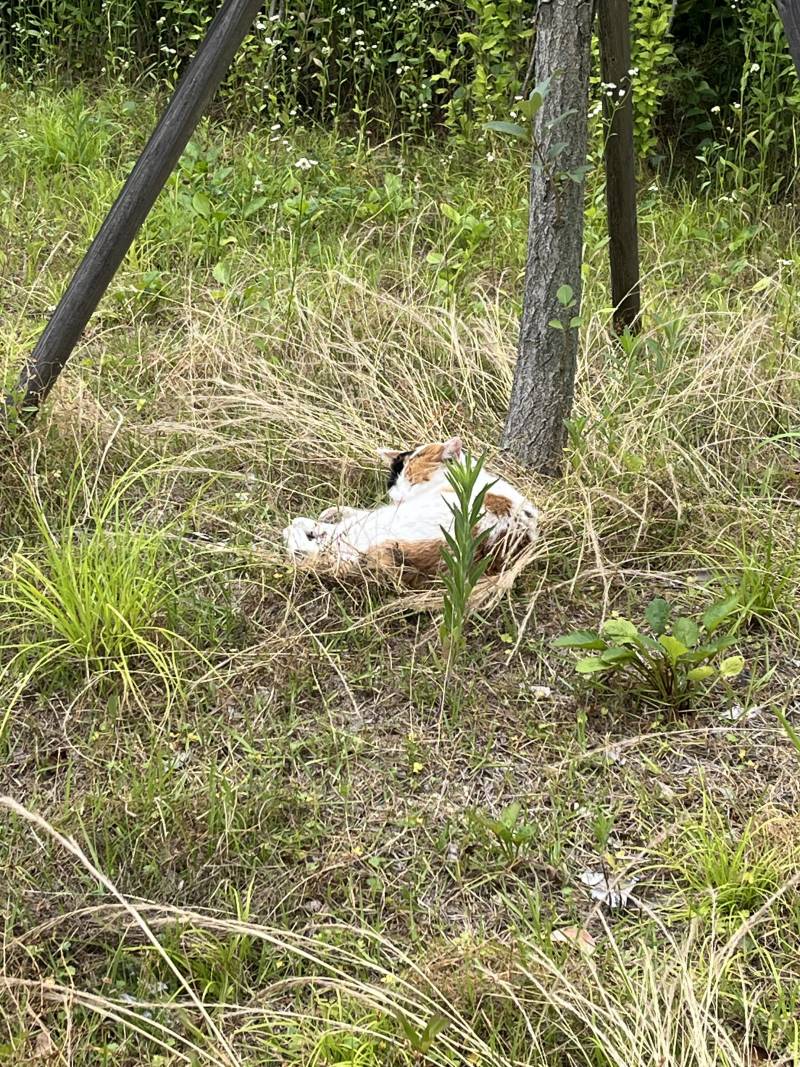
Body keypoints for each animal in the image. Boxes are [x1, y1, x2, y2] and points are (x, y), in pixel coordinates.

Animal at [281, 437, 539, 580]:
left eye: (412, 479)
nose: (396, 495)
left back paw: (295, 529)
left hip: (381, 526)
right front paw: (333, 510)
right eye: (393, 481)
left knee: (322, 545)